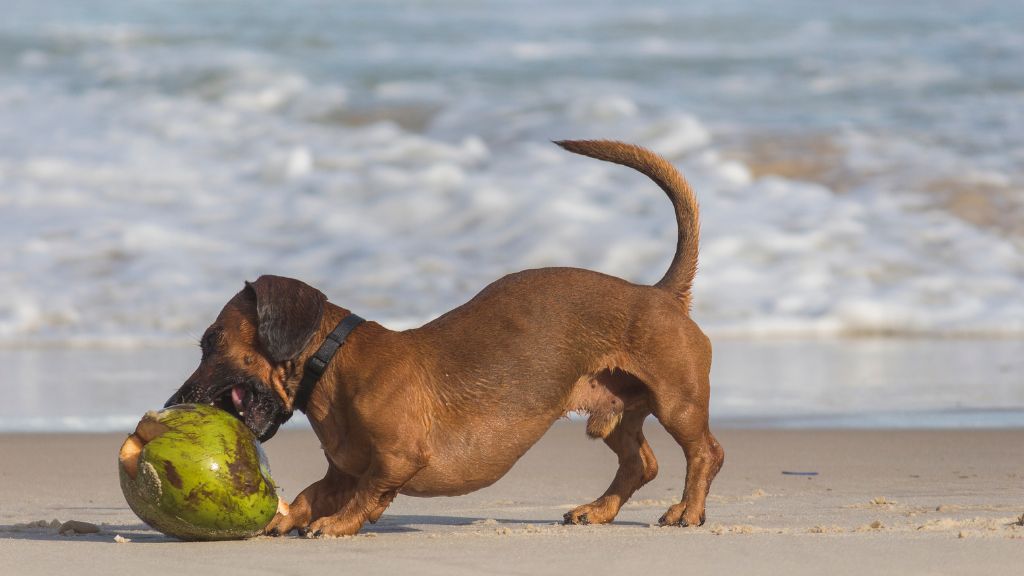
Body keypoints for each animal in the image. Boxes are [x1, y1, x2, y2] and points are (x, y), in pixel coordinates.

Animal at [163, 139, 724, 532]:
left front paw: (338, 524)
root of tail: (660, 293)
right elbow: (312, 493)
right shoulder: (342, 470)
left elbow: (368, 494)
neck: (336, 362)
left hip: (677, 402)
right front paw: (289, 518)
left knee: (706, 453)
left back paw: (687, 511)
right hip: (614, 417)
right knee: (641, 463)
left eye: (212, 343)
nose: (172, 404)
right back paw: (599, 510)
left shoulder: (397, 460)